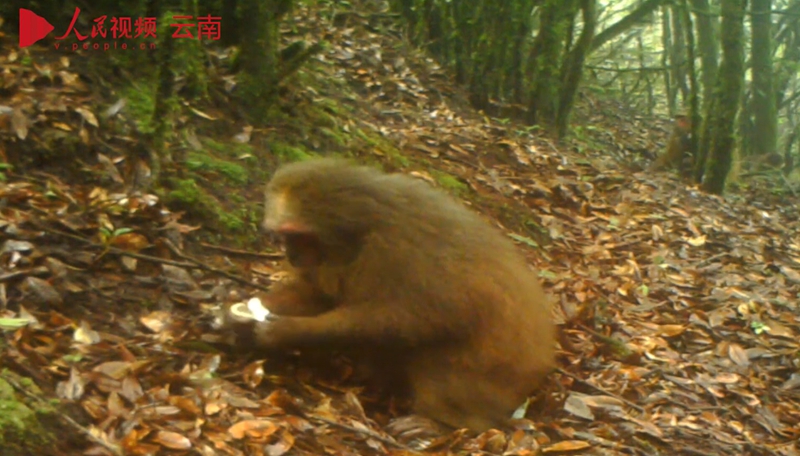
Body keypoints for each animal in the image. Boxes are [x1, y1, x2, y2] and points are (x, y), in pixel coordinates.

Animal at [230, 159, 556, 432]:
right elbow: (318, 296)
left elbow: (405, 320)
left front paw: (288, 330)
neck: (357, 233)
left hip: (499, 379)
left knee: (438, 350)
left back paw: (443, 423)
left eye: (296, 235)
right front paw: (233, 319)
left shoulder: (396, 252)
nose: (291, 255)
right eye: (285, 237)